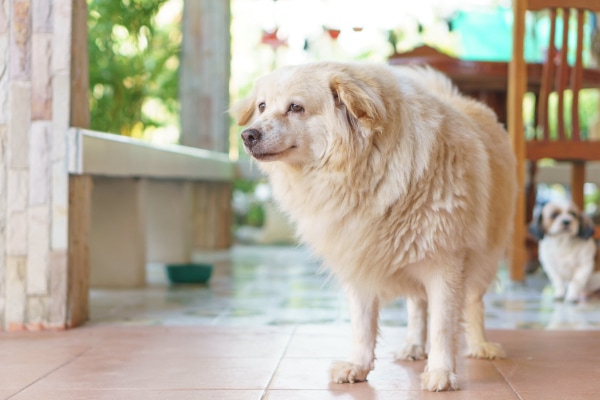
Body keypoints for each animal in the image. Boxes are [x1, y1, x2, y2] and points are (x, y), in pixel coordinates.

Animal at [230, 62, 516, 390]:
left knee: (473, 303)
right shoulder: (359, 261)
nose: (247, 135)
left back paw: (480, 345)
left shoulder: (446, 262)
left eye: (296, 107)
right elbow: (363, 325)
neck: (366, 168)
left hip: (484, 259)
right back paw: (413, 346)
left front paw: (441, 372)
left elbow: (443, 325)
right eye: (262, 106)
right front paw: (358, 365)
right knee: (417, 305)